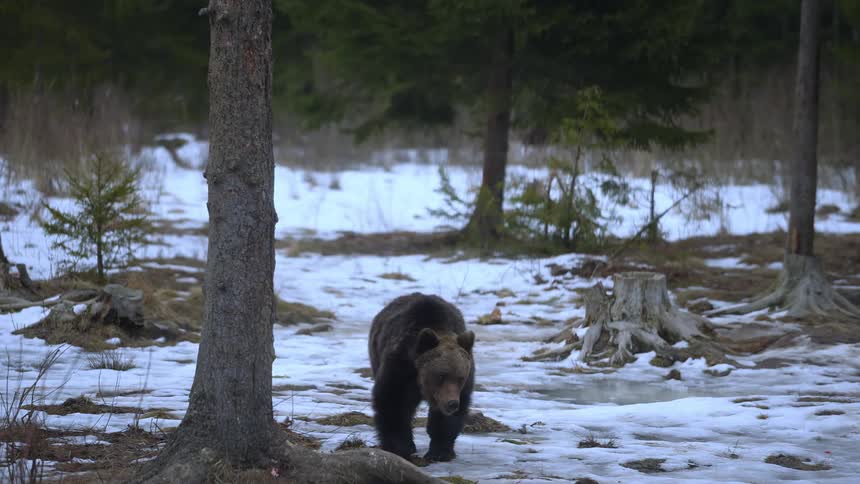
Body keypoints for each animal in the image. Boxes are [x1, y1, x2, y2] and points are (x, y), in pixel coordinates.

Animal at [369, 292, 475, 462]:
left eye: (460, 378)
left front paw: (440, 451)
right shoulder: (401, 368)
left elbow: (446, 420)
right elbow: (393, 403)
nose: (452, 403)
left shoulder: (462, 387)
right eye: (441, 375)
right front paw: (400, 447)